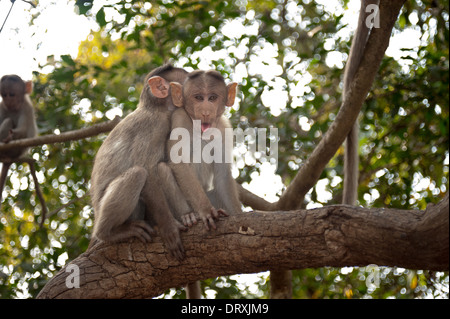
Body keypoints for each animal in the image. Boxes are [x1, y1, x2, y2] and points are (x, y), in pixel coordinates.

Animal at [0, 74, 37, 205]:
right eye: (4, 95)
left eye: (11, 94)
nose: (8, 101)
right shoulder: (2, 106)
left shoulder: (27, 108)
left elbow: (24, 130)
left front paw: (11, 136)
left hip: (15, 150)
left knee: (8, 121)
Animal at [89, 63, 190, 262]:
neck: (158, 109)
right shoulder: (155, 126)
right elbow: (148, 170)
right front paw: (168, 227)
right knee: (137, 174)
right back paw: (108, 232)